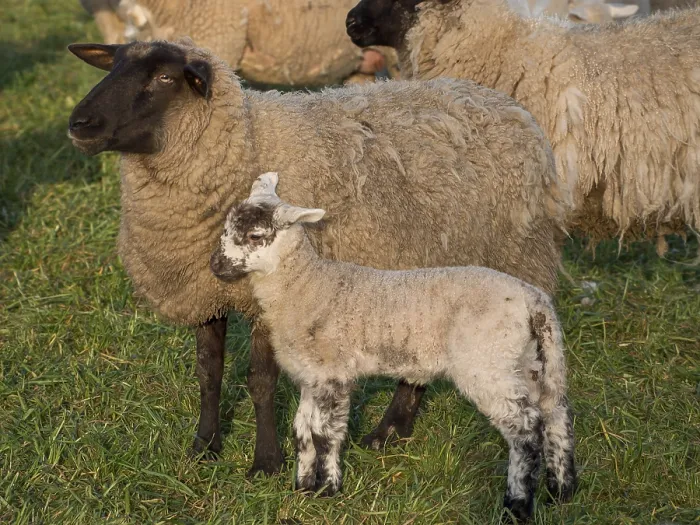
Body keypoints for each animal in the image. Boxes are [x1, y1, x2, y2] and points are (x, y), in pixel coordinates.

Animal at [66, 38, 569, 475]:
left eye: (166, 77)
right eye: (113, 66)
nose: (79, 124)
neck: (248, 142)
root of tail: (503, 101)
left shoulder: (272, 298)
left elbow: (260, 382)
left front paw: (266, 463)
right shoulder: (203, 290)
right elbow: (209, 374)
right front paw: (204, 447)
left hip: (509, 262)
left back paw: (388, 431)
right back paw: (393, 431)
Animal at [209, 171, 577, 522]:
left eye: (255, 236)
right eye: (227, 227)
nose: (216, 265)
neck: (306, 286)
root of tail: (533, 300)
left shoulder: (333, 373)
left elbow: (325, 435)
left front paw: (327, 490)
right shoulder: (310, 376)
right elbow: (303, 432)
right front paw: (301, 488)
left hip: (486, 362)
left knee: (525, 430)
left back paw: (517, 505)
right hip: (529, 361)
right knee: (554, 414)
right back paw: (561, 491)